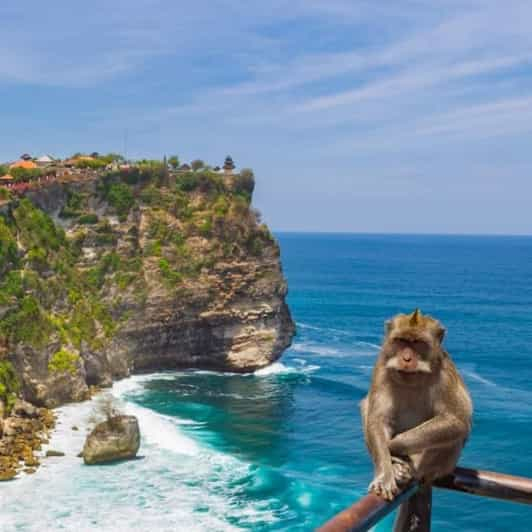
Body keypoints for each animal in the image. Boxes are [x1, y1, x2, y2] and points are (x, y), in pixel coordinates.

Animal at [360, 310, 472, 500]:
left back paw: (411, 466)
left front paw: (394, 445)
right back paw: (396, 467)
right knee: (366, 407)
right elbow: (378, 419)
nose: (406, 358)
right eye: (401, 341)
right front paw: (385, 474)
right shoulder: (381, 366)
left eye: (418, 343)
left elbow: (456, 420)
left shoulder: (444, 371)